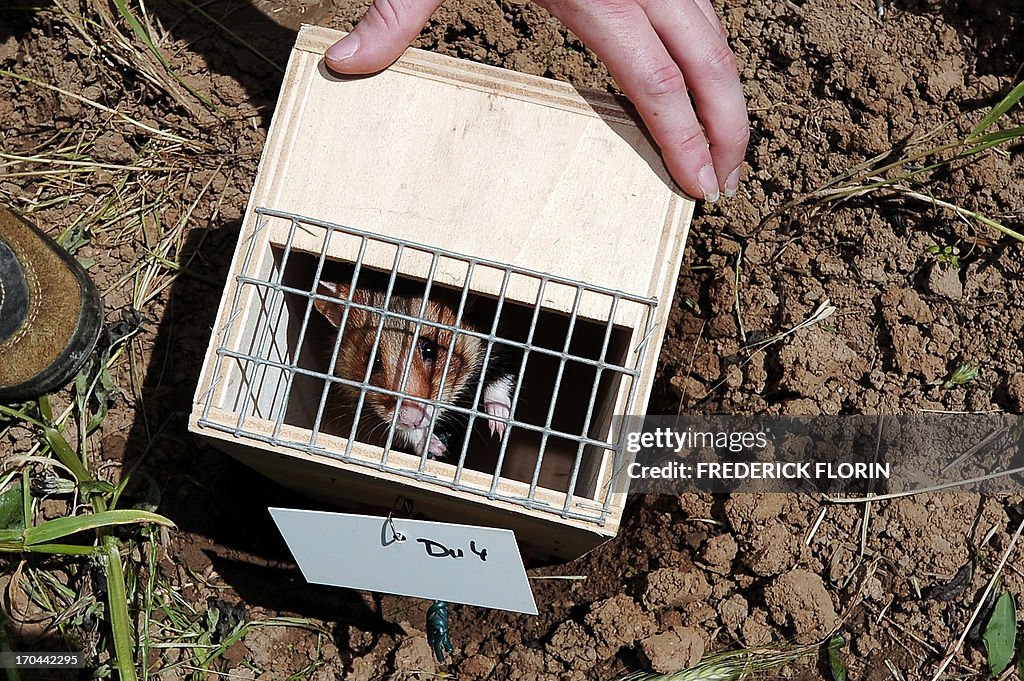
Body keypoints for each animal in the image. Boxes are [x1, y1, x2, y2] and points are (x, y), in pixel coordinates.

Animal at [311, 278, 516, 458]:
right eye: (372, 360)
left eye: (430, 349)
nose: (411, 420)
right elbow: (403, 431)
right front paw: (436, 448)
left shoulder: (500, 343)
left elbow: (499, 379)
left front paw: (498, 425)